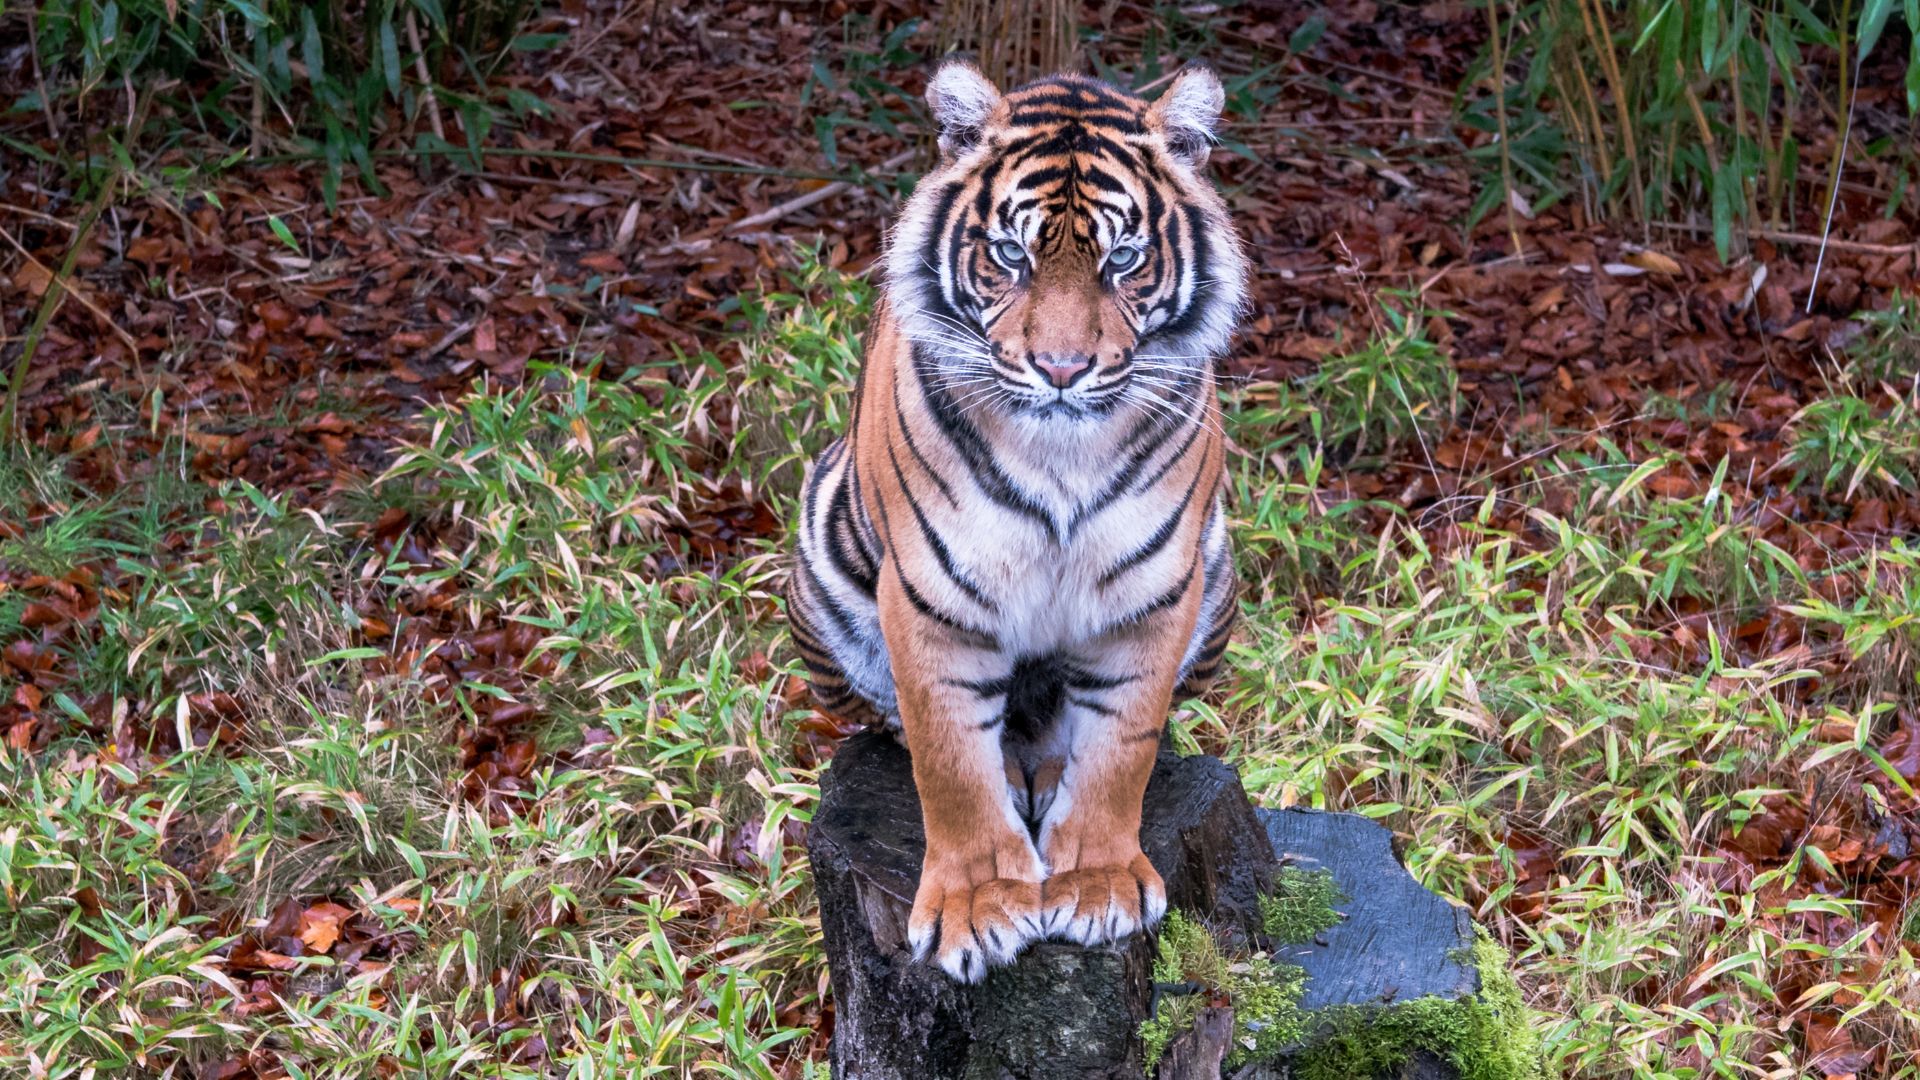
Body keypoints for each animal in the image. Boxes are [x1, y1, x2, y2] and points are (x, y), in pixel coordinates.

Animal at [787, 58, 1247, 983]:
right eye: (1011, 255)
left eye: (1123, 259)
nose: (1062, 369)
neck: (1060, 454)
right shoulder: (930, 595)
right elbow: (947, 761)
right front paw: (975, 909)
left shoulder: (1155, 590)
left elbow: (1123, 748)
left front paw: (1096, 883)